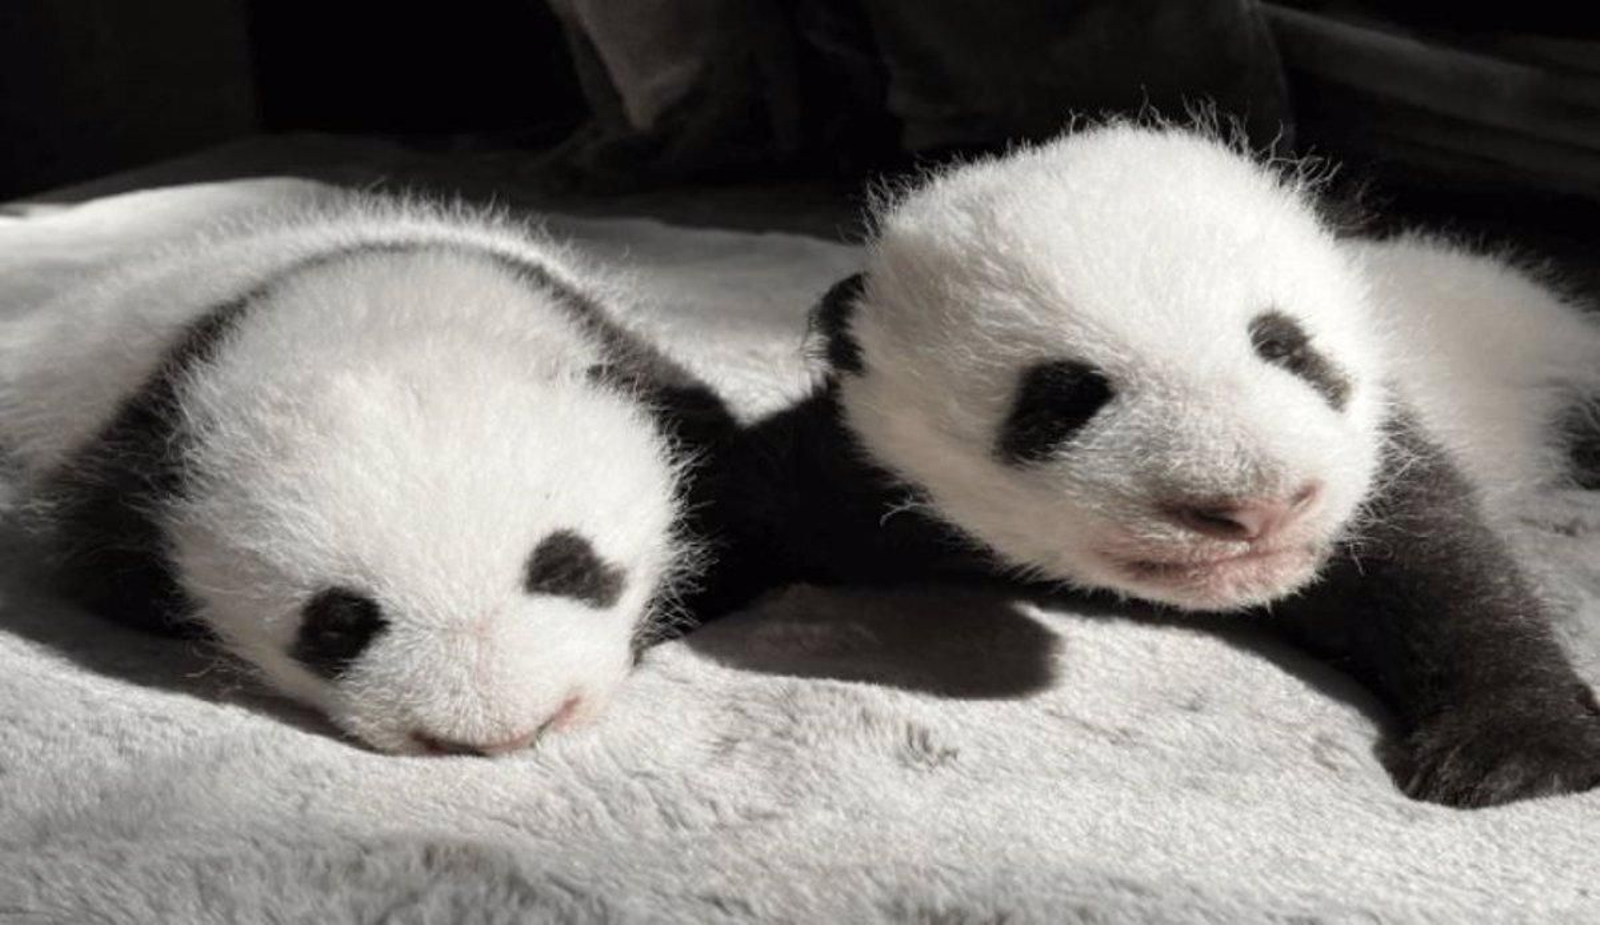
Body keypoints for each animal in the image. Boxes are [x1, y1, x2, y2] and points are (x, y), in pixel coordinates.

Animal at [699, 123, 1600, 807]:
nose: (1256, 506)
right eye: (1065, 399)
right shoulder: (867, 475)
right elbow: (747, 497)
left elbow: (1447, 570)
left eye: (1288, 348)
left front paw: (1518, 747)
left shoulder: (1379, 447)